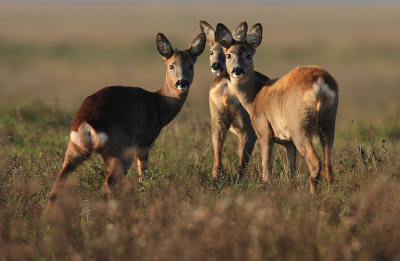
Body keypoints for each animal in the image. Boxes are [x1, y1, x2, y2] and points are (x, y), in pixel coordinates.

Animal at [48, 32, 206, 204]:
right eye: (171, 65)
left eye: (191, 65)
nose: (182, 82)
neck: (158, 103)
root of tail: (86, 125)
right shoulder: (144, 142)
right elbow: (143, 174)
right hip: (121, 150)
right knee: (110, 181)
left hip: (74, 150)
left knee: (57, 185)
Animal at [200, 20, 268, 179]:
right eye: (211, 51)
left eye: (224, 53)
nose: (216, 65)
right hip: (246, 124)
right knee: (243, 160)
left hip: (217, 118)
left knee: (218, 150)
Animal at [216, 21, 338, 191]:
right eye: (229, 55)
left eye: (248, 55)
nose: (237, 70)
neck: (254, 96)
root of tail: (319, 82)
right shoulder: (288, 143)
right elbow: (291, 172)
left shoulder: (264, 131)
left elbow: (267, 169)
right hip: (328, 122)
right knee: (328, 166)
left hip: (299, 126)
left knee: (315, 163)